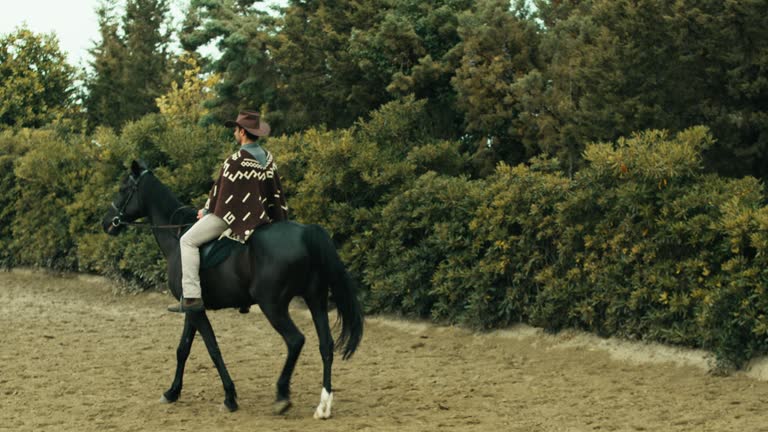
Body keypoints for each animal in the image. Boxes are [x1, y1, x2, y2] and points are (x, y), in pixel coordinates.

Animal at [101, 160, 364, 416]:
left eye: (123, 189)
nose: (106, 223)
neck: (177, 237)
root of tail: (306, 231)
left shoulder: (197, 312)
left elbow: (213, 349)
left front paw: (229, 396)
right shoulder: (192, 308)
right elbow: (183, 349)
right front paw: (172, 392)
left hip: (273, 306)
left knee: (295, 340)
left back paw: (282, 396)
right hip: (315, 299)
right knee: (326, 345)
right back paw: (324, 405)